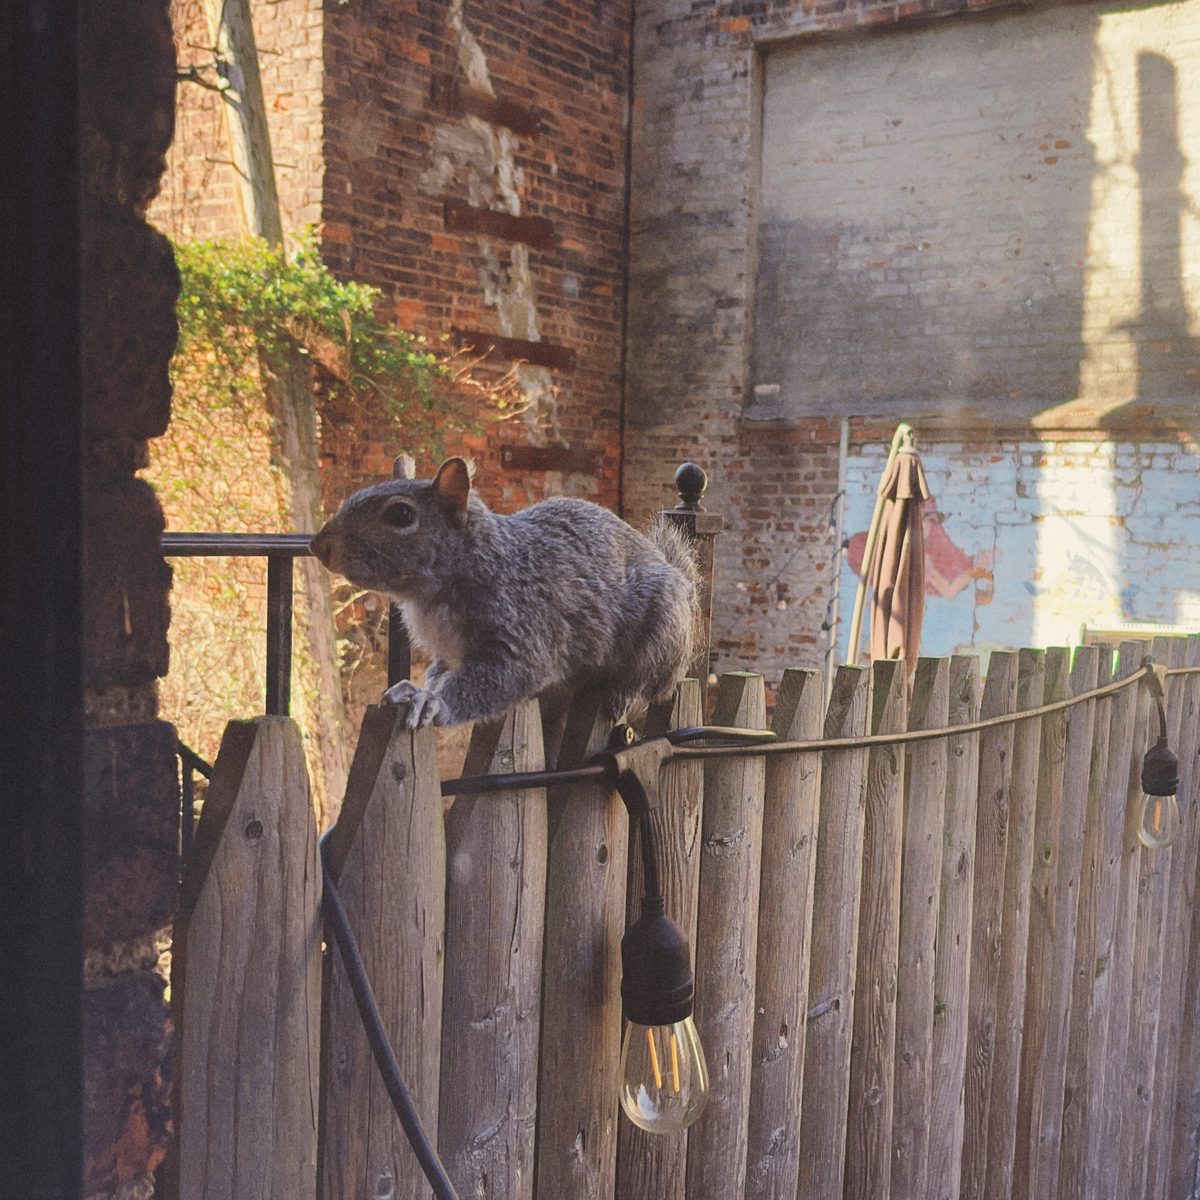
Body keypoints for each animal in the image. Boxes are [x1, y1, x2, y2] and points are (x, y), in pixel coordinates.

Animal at [310, 455, 699, 730]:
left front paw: (431, 702)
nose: (318, 546)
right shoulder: (449, 653)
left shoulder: (525, 629)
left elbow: (506, 675)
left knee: (650, 681)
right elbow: (440, 673)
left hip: (662, 629)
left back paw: (623, 694)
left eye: (401, 515)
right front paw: (414, 689)